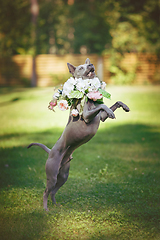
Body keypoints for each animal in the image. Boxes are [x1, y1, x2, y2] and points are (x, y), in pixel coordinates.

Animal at [27, 58, 130, 210]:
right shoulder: (87, 116)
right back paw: (46, 209)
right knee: (46, 191)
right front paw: (110, 110)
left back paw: (56, 205)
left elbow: (114, 103)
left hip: (63, 175)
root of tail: (51, 151)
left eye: (88, 63)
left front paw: (125, 106)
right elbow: (103, 106)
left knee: (53, 191)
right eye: (81, 67)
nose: (91, 65)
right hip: (52, 175)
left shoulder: (100, 117)